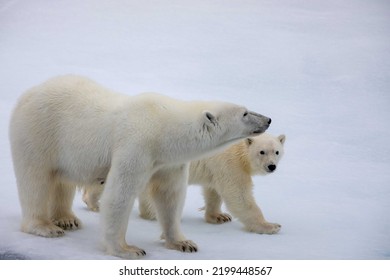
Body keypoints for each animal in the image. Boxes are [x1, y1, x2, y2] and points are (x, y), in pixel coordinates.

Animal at [9, 74, 272, 258]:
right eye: (245, 113)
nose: (268, 119)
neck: (163, 128)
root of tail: (28, 93)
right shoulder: (136, 145)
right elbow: (120, 194)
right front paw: (127, 249)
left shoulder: (168, 160)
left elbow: (169, 195)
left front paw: (183, 243)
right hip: (38, 132)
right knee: (35, 180)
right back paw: (45, 226)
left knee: (61, 181)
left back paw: (66, 219)